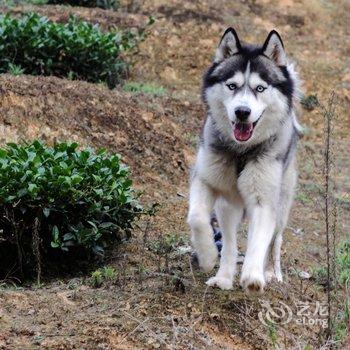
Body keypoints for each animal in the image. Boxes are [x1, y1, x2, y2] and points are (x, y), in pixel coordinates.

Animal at [186, 28, 300, 294]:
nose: (242, 112)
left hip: (282, 202)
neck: (242, 151)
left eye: (260, 88)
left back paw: (271, 272)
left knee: (275, 240)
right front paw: (207, 257)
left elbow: (259, 241)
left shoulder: (264, 200)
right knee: (229, 243)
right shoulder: (207, 180)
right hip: (229, 205)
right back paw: (224, 277)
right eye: (232, 86)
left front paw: (253, 276)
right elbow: (196, 218)